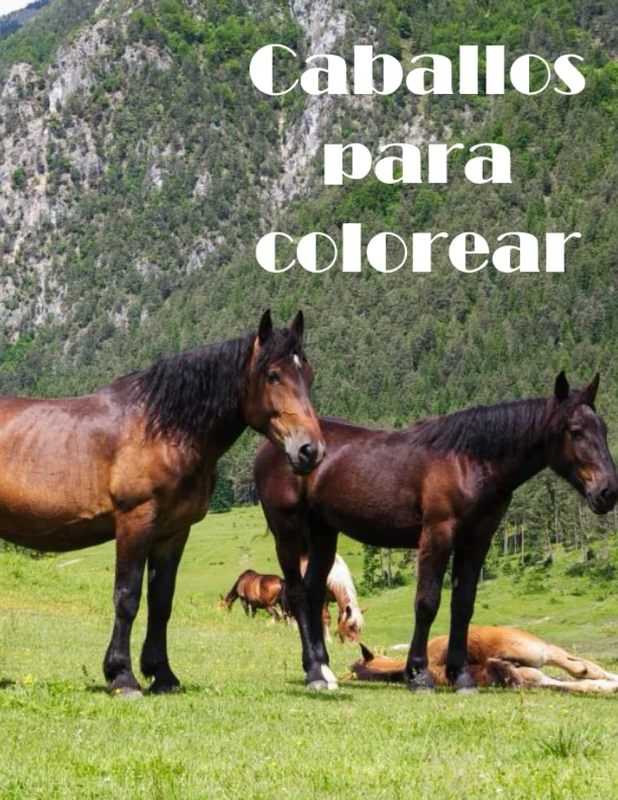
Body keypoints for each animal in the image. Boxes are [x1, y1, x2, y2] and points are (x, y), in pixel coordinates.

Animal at [0, 310, 325, 695]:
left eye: (308, 374)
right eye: (273, 375)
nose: (310, 450)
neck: (162, 431)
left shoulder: (173, 531)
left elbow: (161, 602)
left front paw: (162, 674)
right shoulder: (135, 521)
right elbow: (127, 597)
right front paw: (122, 676)